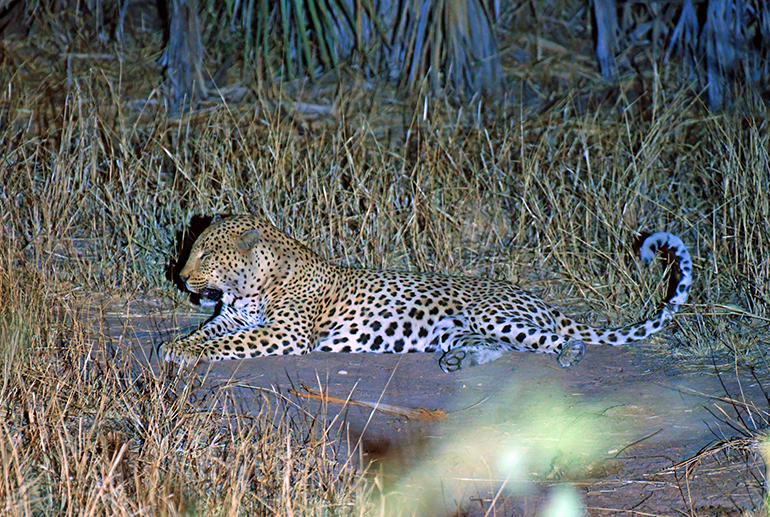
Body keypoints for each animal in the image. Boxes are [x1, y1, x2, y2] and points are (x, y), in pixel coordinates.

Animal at [156, 214, 688, 370]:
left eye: (205, 256)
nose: (180, 278)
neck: (252, 286)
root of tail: (540, 298)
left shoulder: (283, 334)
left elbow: (228, 344)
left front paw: (185, 353)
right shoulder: (232, 316)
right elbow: (209, 331)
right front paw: (175, 345)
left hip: (495, 314)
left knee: (551, 339)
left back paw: (569, 353)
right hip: (459, 328)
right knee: (502, 346)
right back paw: (461, 361)